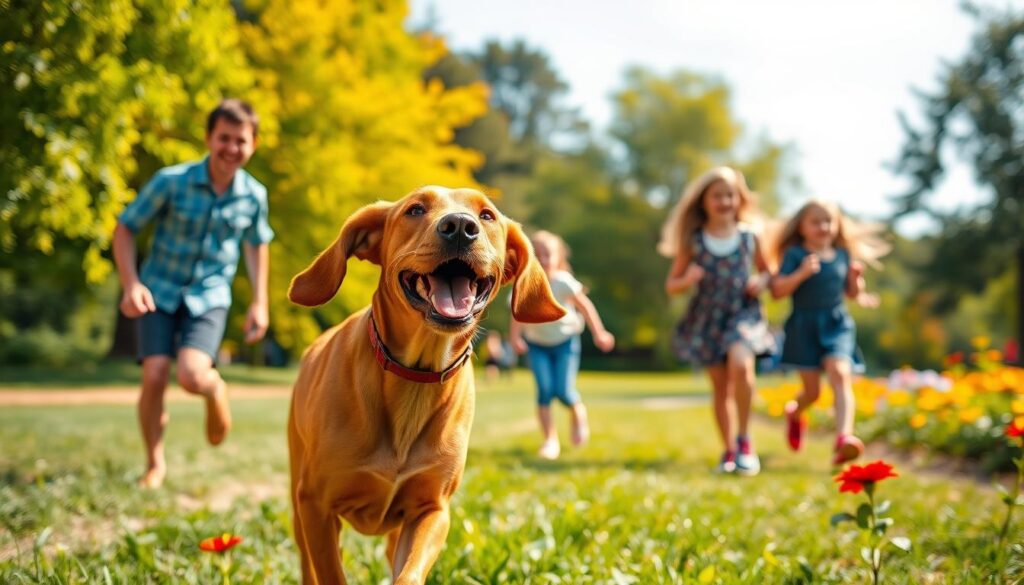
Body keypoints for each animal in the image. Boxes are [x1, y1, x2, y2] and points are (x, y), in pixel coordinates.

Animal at [286, 185, 561, 581]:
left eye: (487, 215)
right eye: (415, 209)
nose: (460, 226)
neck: (416, 377)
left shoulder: (432, 509)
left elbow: (409, 572)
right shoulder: (317, 504)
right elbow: (329, 573)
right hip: (298, 499)